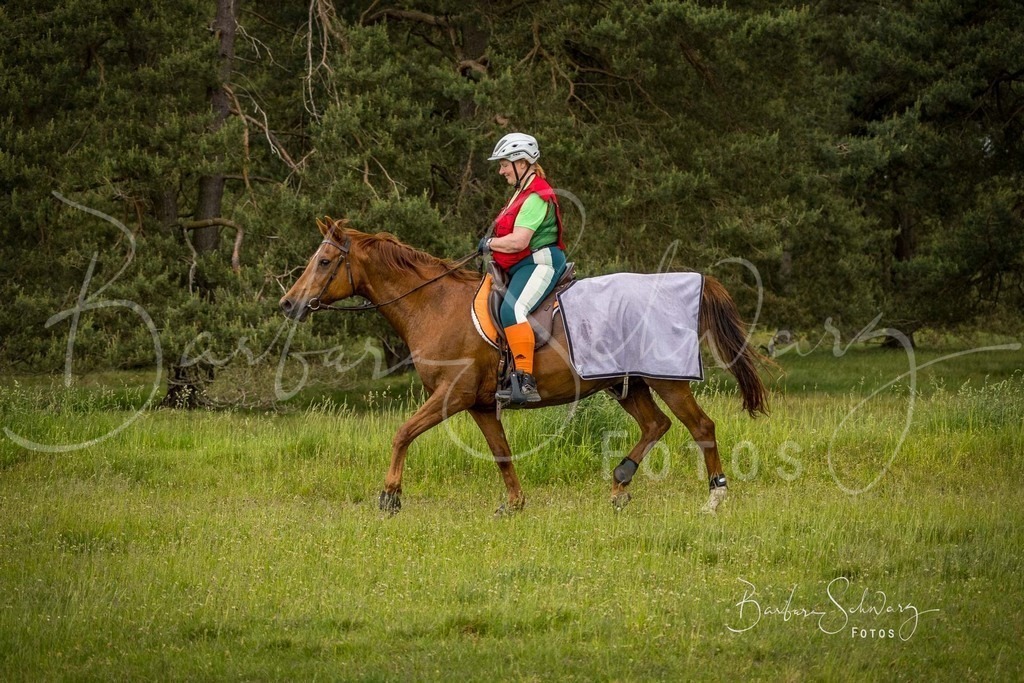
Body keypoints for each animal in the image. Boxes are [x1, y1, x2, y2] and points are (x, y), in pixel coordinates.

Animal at [280, 218, 769, 515]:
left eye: (324, 261)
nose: (288, 304)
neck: (434, 305)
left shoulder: (451, 395)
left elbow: (402, 433)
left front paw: (390, 496)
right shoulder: (478, 405)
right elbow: (501, 452)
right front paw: (513, 504)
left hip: (667, 380)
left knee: (700, 427)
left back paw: (714, 497)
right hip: (626, 384)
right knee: (655, 426)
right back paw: (619, 484)